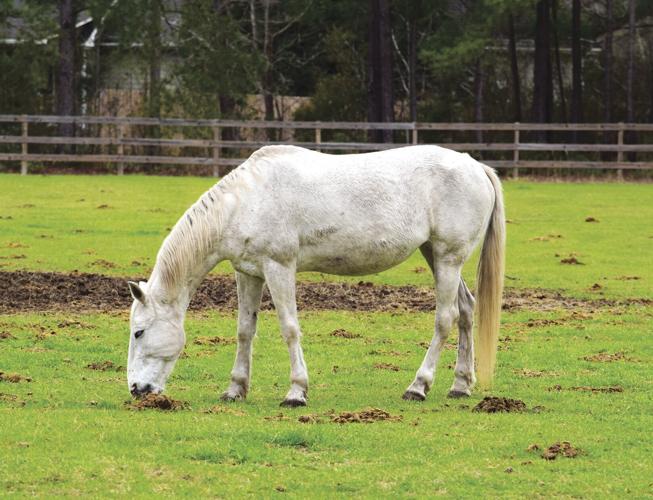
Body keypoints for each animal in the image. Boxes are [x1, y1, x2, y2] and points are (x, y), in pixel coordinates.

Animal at [127, 144, 505, 407]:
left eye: (138, 332)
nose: (136, 389)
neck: (247, 200)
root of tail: (475, 166)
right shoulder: (248, 273)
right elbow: (245, 331)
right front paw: (235, 389)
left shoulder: (279, 267)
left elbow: (289, 329)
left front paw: (296, 392)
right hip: (436, 257)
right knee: (466, 310)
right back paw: (460, 385)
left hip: (448, 258)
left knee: (446, 318)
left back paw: (419, 386)